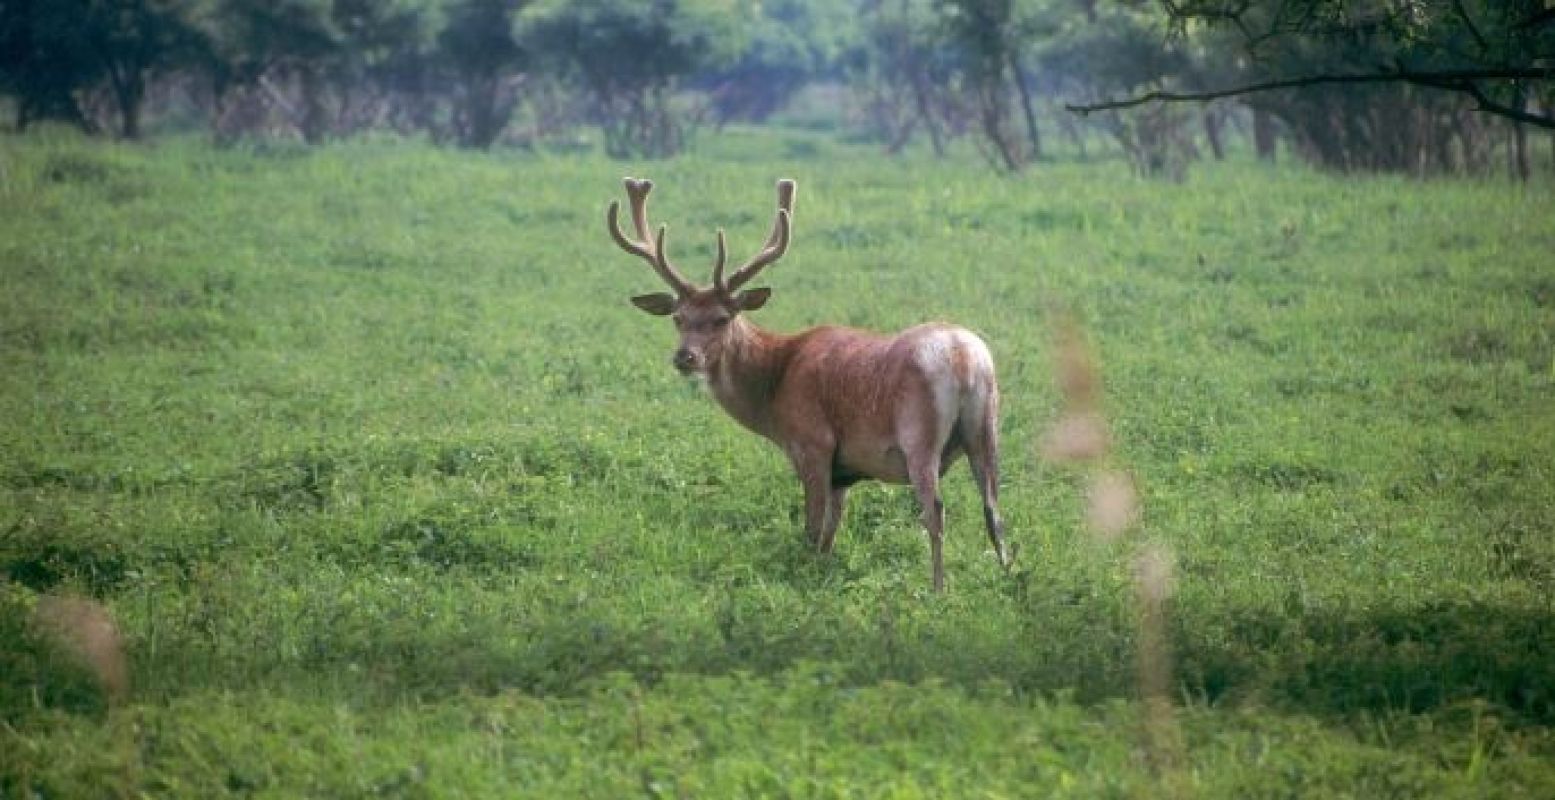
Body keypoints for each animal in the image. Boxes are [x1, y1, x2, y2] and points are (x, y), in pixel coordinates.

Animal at [606, 177, 1007, 588]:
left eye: (721, 318)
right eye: (678, 318)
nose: (685, 357)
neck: (773, 390)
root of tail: (963, 358)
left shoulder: (813, 442)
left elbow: (812, 528)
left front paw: (804, 579)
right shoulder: (844, 470)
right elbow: (832, 529)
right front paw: (824, 574)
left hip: (919, 434)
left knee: (936, 511)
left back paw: (938, 589)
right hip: (987, 427)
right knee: (994, 508)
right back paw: (1007, 576)